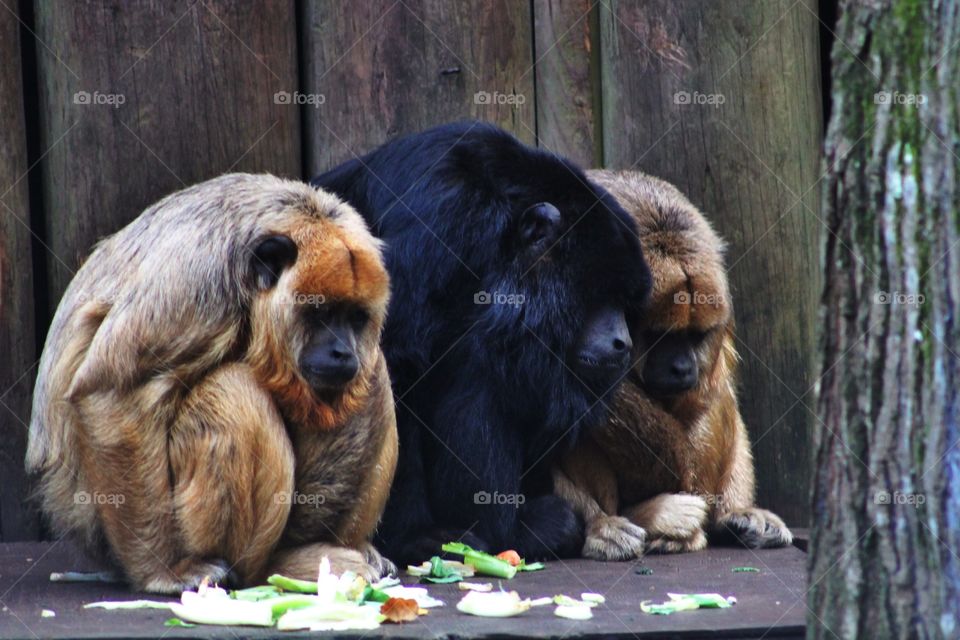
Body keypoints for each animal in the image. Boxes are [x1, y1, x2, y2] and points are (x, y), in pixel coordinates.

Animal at [27, 173, 397, 593]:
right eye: (321, 313)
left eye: (355, 318)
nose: (342, 352)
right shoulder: (196, 279)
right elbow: (115, 393)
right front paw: (162, 570)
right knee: (232, 393)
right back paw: (271, 567)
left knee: (372, 375)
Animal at [313, 122, 652, 564]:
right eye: (599, 293)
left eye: (626, 302)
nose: (621, 342)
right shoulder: (436, 222)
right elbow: (393, 367)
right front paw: (416, 537)